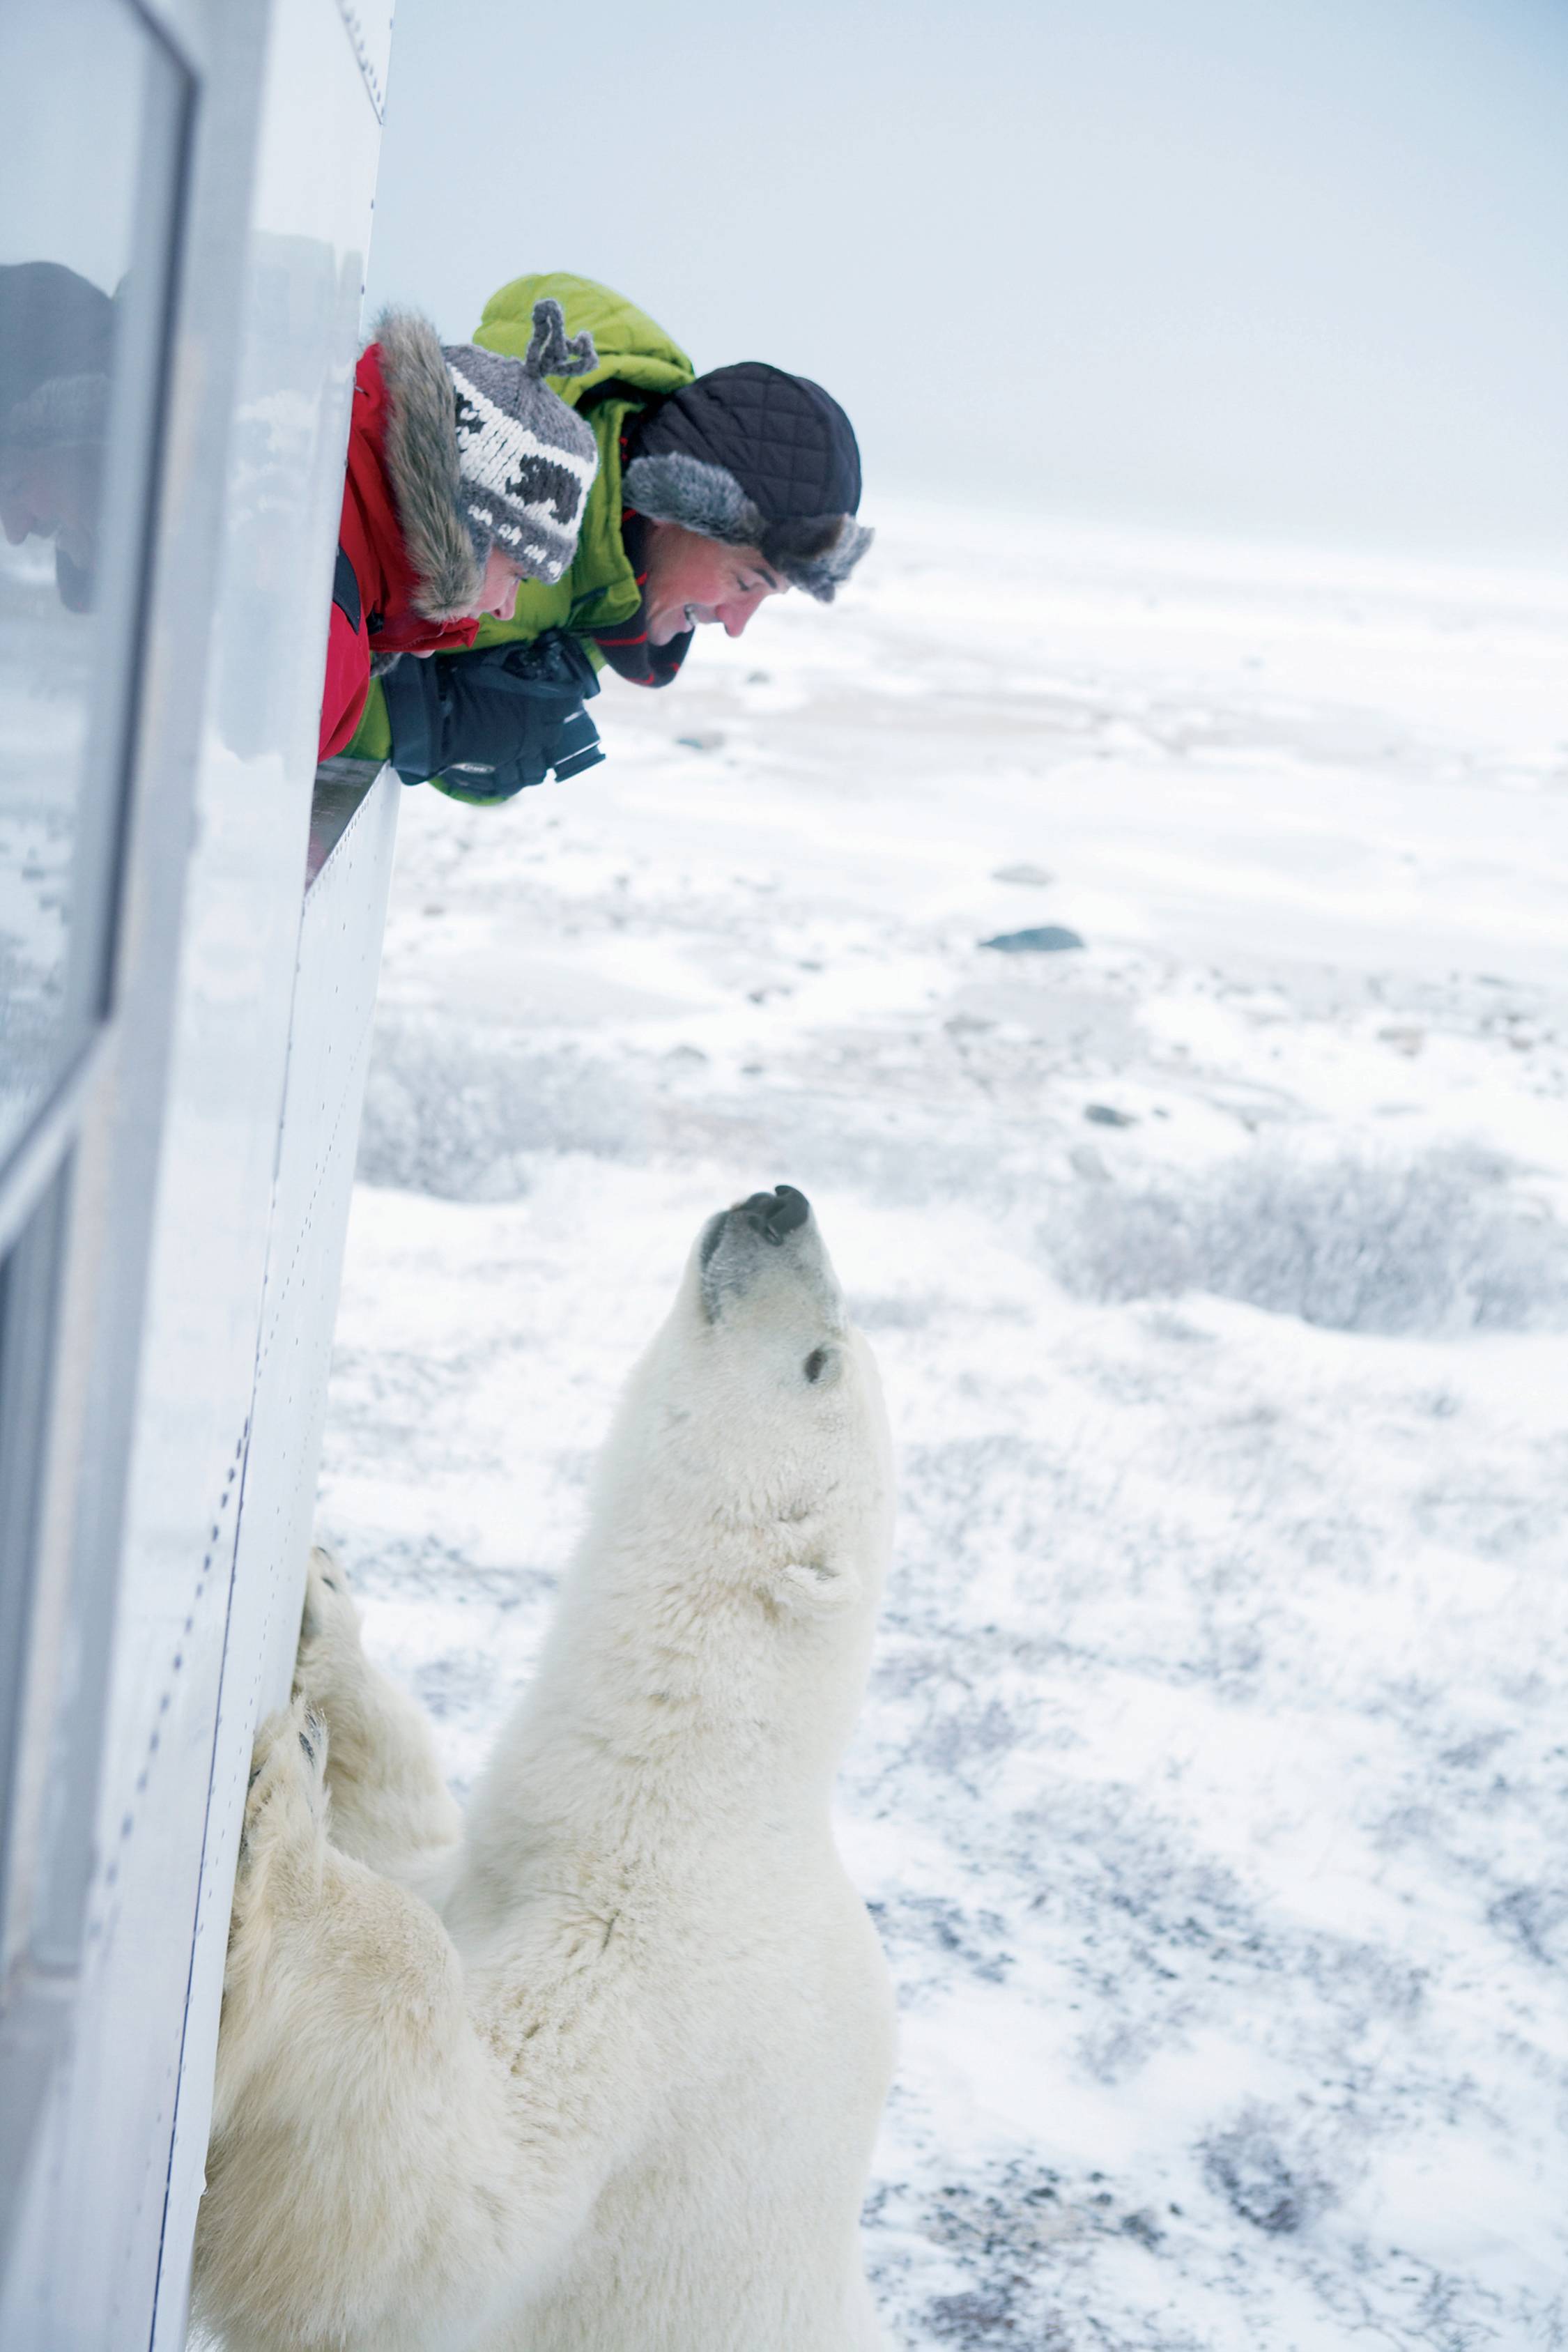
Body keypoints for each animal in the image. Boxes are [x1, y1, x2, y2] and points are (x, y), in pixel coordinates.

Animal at [193, 1184, 897, 2352]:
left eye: (819, 1361)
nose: (781, 1201)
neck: (668, 1797)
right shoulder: (498, 1864)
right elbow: (417, 1835)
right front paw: (323, 1617)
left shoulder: (647, 2000)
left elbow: (461, 2207)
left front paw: (286, 1839)